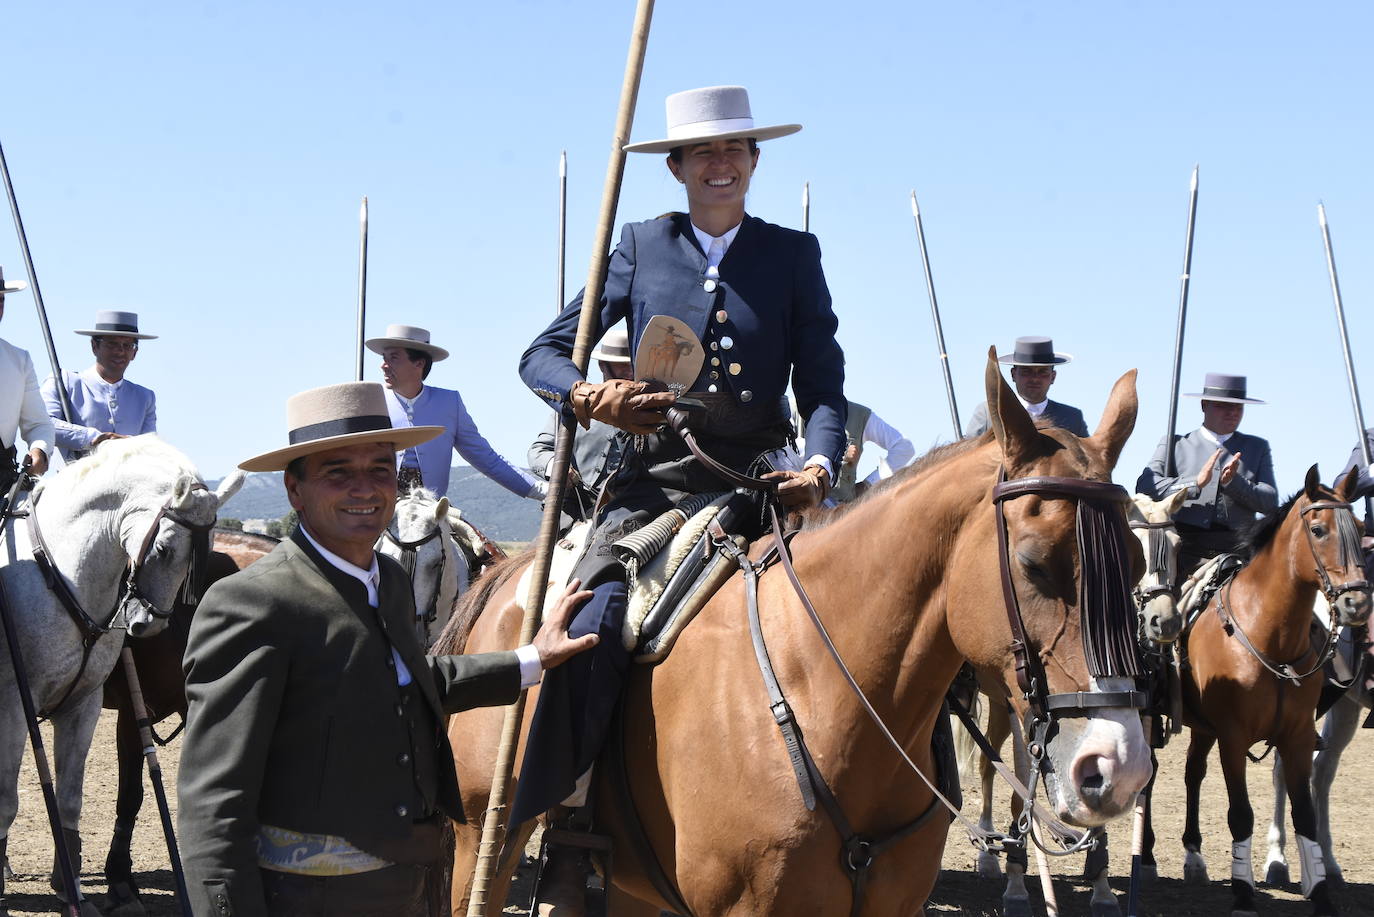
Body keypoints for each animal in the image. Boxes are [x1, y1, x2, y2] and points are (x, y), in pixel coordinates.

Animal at [0, 437, 225, 917]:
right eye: (163, 549)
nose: (146, 624)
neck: (65, 572)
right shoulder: (13, 704)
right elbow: (8, 801)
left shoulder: (82, 705)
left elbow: (69, 799)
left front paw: (72, 889)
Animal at [436, 354, 1148, 917]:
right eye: (1034, 562)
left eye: (1140, 565)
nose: (1118, 768)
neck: (826, 687)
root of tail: (507, 574)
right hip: (482, 838)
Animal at [1143, 467, 1368, 917]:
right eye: (1318, 529)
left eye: (1359, 527)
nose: (1357, 601)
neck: (1271, 637)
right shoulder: (1233, 737)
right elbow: (1240, 815)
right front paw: (1244, 893)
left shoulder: (1297, 736)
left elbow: (1305, 814)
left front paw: (1321, 894)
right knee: (1153, 774)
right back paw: (1151, 859)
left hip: (1204, 728)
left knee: (1193, 773)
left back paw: (1194, 857)